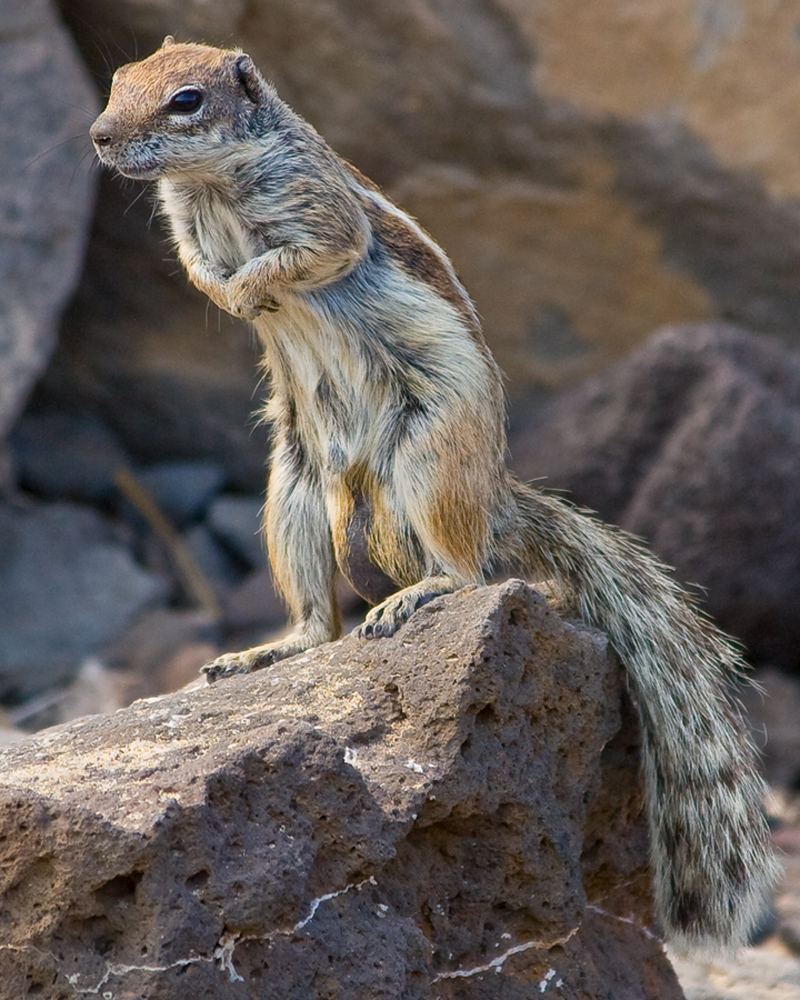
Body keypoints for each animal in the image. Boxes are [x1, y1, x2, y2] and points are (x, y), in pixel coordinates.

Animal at [92, 37, 776, 944]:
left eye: (186, 101)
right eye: (117, 81)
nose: (98, 136)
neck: (210, 179)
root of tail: (494, 498)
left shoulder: (318, 209)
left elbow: (312, 252)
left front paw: (251, 288)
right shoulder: (186, 224)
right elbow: (199, 267)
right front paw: (228, 292)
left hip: (431, 457)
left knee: (470, 571)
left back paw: (417, 595)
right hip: (292, 491)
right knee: (319, 619)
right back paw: (269, 649)